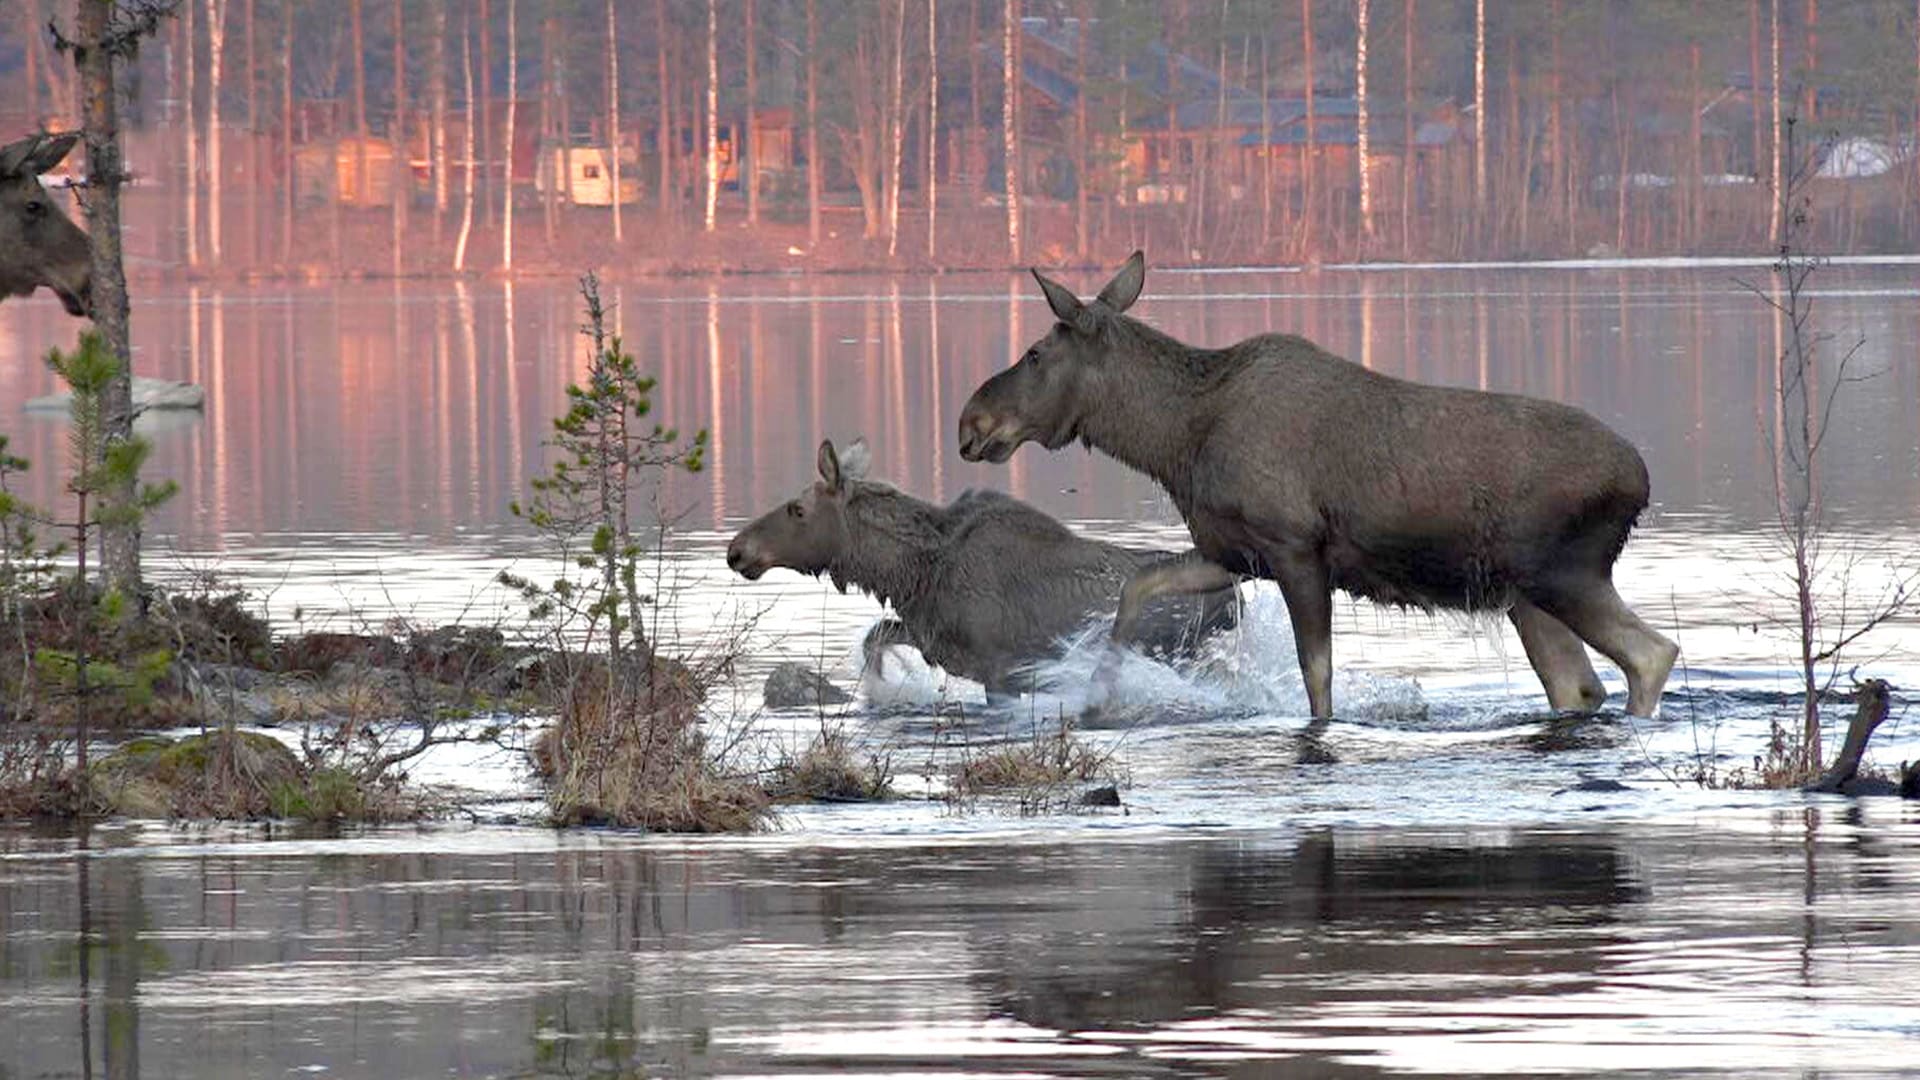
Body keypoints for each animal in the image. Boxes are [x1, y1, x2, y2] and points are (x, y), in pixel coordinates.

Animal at [960, 253, 1681, 714]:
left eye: (1034, 353)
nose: (971, 421)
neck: (1175, 443)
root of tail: (1642, 481)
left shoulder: (1296, 546)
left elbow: (1318, 679)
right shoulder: (1231, 550)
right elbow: (1137, 588)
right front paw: (1101, 689)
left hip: (1564, 571)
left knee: (1653, 654)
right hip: (1525, 593)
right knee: (1579, 686)